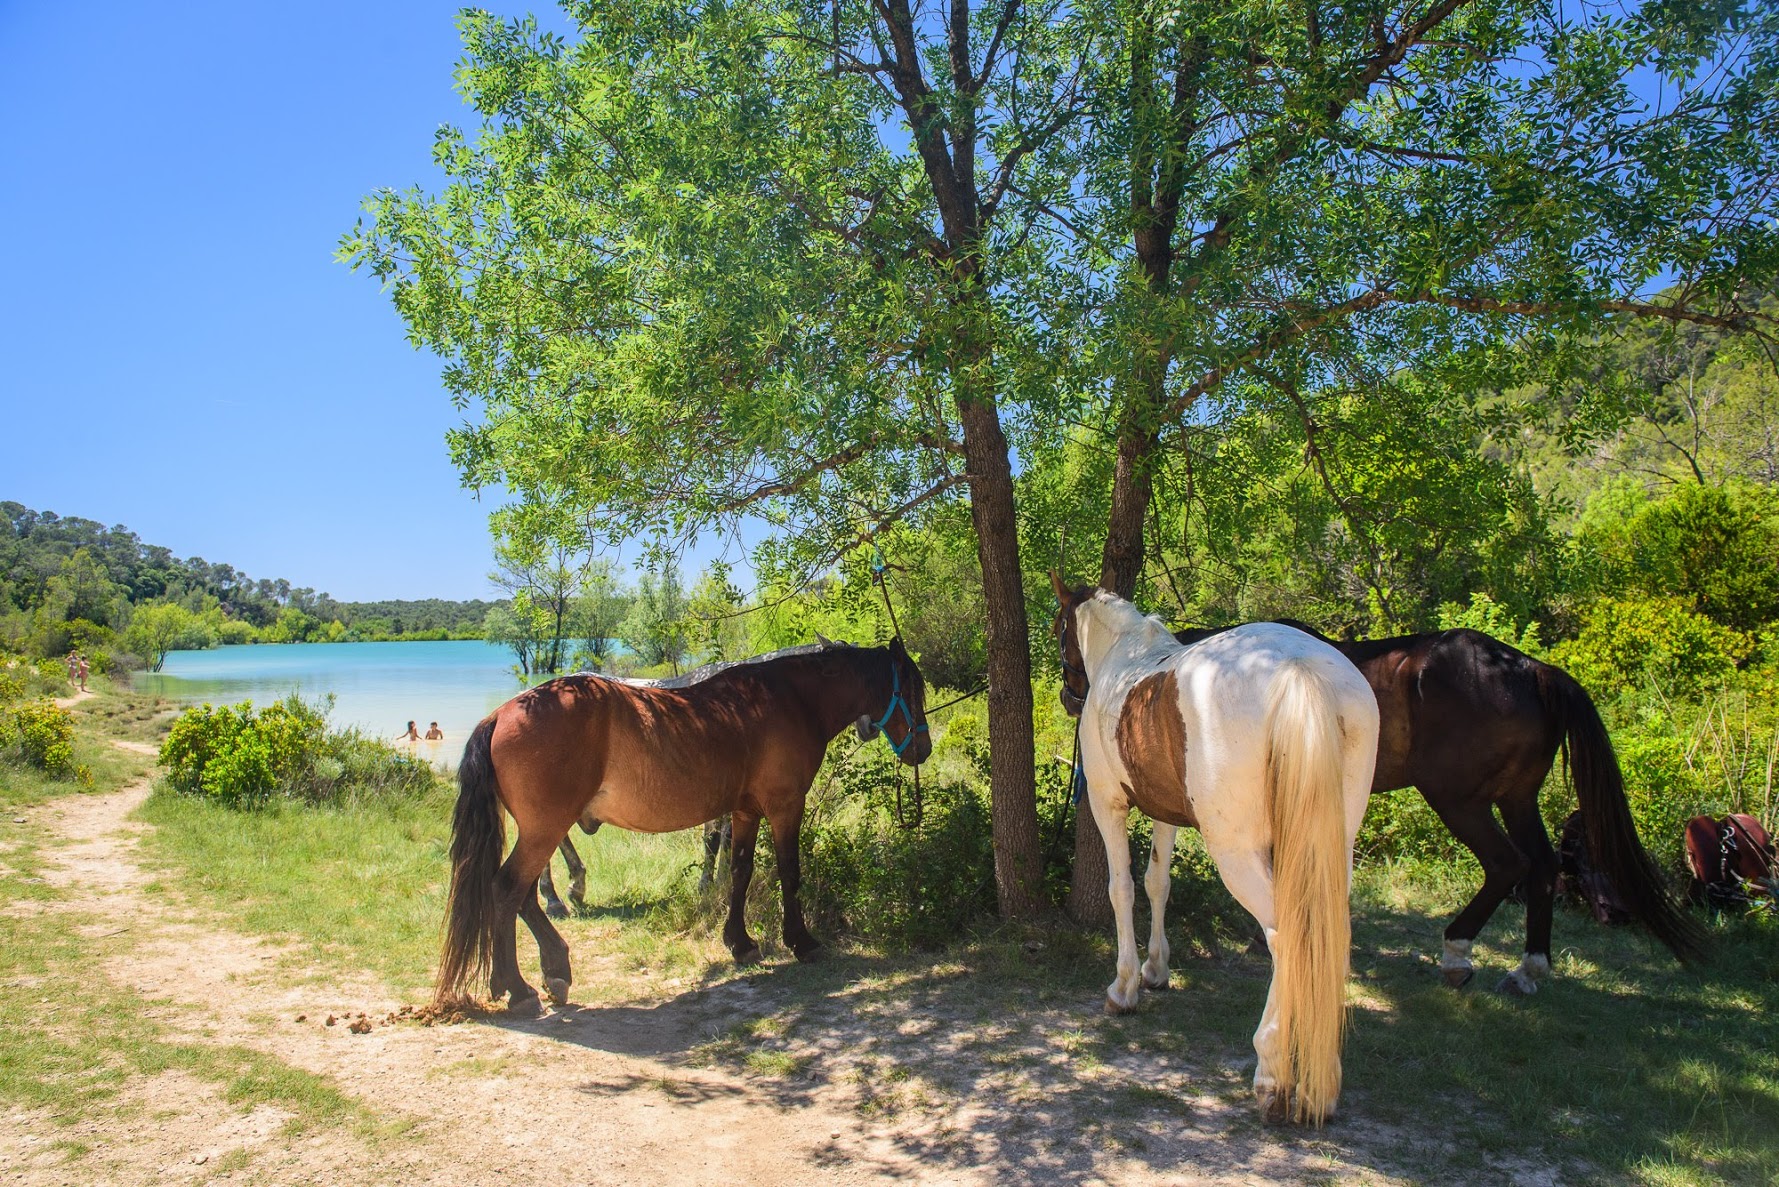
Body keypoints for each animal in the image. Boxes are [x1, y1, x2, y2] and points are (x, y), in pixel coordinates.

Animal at [436, 638, 931, 1014]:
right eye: (912, 687)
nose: (922, 748)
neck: (789, 699)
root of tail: (502, 713)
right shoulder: (785, 807)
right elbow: (789, 873)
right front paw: (801, 940)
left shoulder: (745, 812)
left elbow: (740, 872)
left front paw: (740, 942)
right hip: (545, 828)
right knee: (507, 890)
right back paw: (522, 988)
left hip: (540, 829)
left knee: (523, 895)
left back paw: (546, 970)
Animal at [1052, 574, 1379, 1125]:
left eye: (1059, 633)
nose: (1068, 696)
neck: (1123, 655)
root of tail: (1300, 668)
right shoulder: (1165, 811)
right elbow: (1158, 883)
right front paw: (1156, 970)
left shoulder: (1107, 802)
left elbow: (1123, 889)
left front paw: (1125, 987)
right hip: (1331, 847)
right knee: (1326, 933)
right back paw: (1322, 1083)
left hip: (1238, 853)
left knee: (1286, 935)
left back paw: (1272, 1076)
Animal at [1172, 622, 1707, 991]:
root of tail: (1533, 670)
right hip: (1516, 799)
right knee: (1543, 864)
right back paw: (1528, 969)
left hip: (1458, 800)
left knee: (1506, 863)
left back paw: (1457, 953)